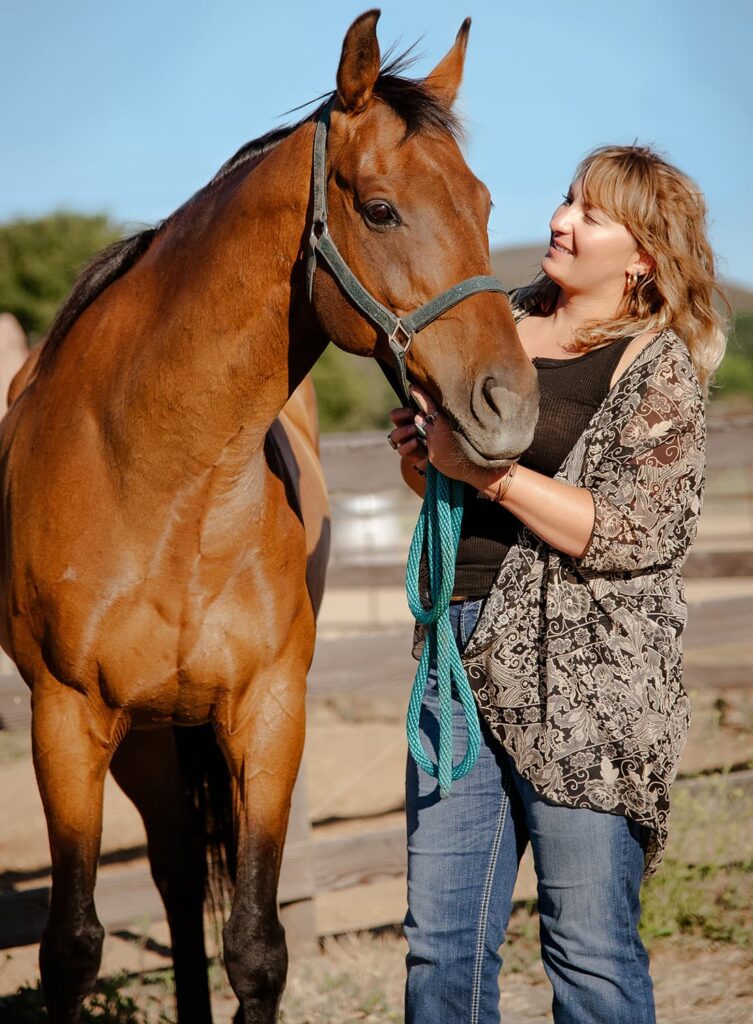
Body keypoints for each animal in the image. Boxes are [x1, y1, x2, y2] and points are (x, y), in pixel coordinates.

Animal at [2, 9, 540, 1024]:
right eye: (379, 208)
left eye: (487, 204)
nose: (510, 408)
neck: (162, 481)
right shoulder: (65, 716)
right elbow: (72, 947)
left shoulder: (268, 711)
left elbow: (255, 944)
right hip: (137, 734)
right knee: (174, 877)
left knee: (182, 879)